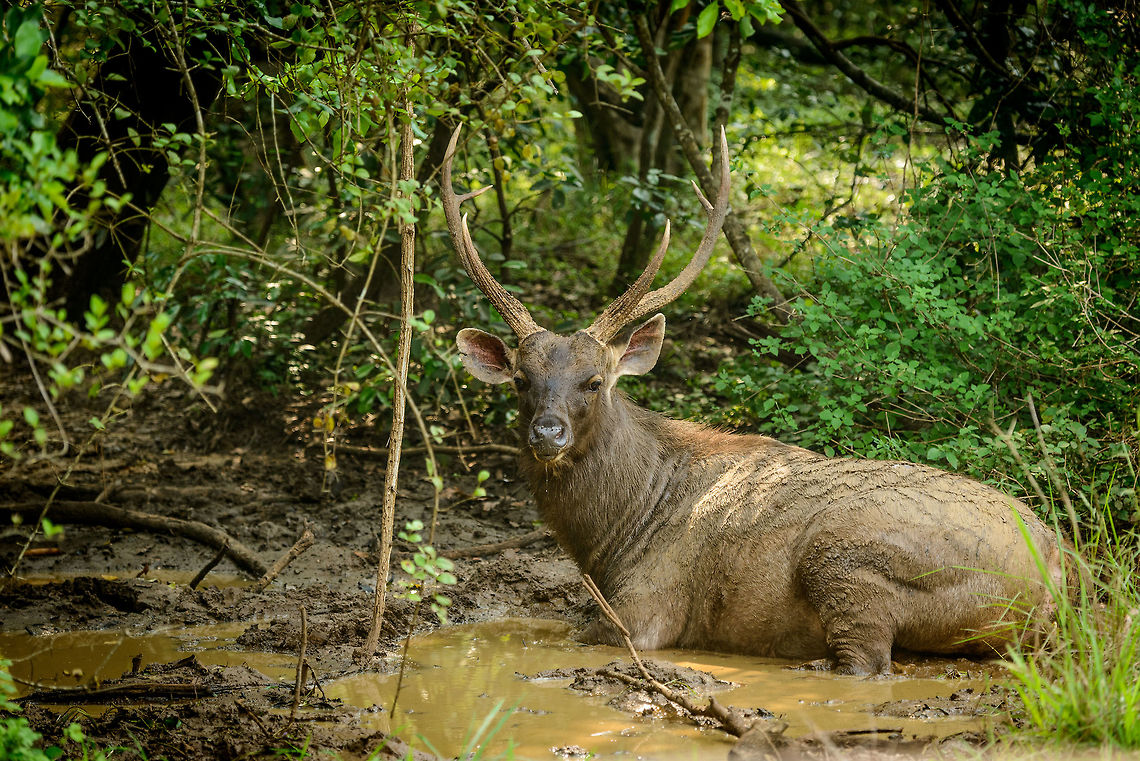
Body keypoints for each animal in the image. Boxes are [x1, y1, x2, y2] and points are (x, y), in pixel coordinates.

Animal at [442, 126, 1065, 675]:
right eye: (521, 380)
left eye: (595, 382)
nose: (547, 433)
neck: (611, 538)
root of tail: (1056, 577)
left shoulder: (646, 610)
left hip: (851, 562)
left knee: (866, 662)